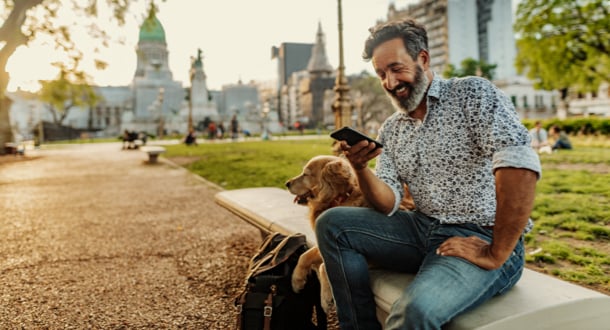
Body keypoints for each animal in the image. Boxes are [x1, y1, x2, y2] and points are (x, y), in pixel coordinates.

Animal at [284, 155, 416, 312]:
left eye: (306, 174)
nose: (286, 183)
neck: (340, 199)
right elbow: (304, 255)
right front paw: (297, 281)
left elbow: (324, 267)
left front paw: (326, 298)